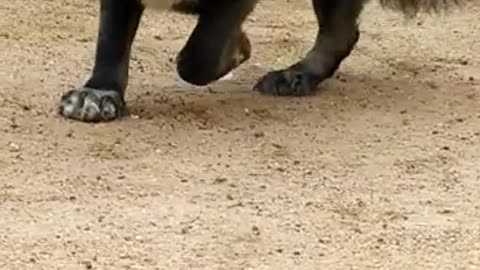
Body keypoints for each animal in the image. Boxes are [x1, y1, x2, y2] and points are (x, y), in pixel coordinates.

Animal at [57, 0, 464, 122]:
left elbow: (198, 57)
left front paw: (238, 48)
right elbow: (111, 40)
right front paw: (99, 95)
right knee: (342, 31)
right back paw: (297, 74)